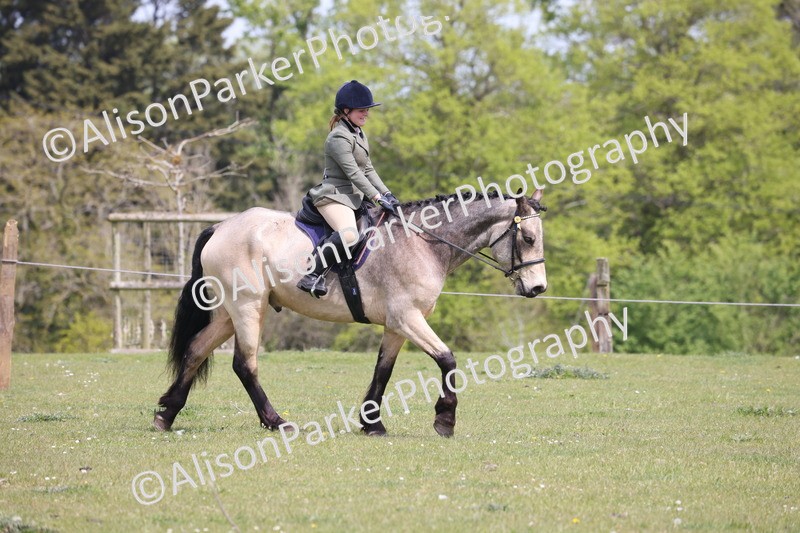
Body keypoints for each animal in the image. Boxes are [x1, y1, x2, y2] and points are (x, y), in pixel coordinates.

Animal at [153, 188, 547, 437]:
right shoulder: (408, 318)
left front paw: (372, 423)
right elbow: (447, 359)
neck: (422, 243)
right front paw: (445, 419)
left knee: (196, 350)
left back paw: (166, 414)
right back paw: (277, 422)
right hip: (249, 307)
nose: (538, 288)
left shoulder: (397, 325)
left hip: (227, 314)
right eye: (528, 239)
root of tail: (220, 226)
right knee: (244, 364)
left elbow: (383, 370)